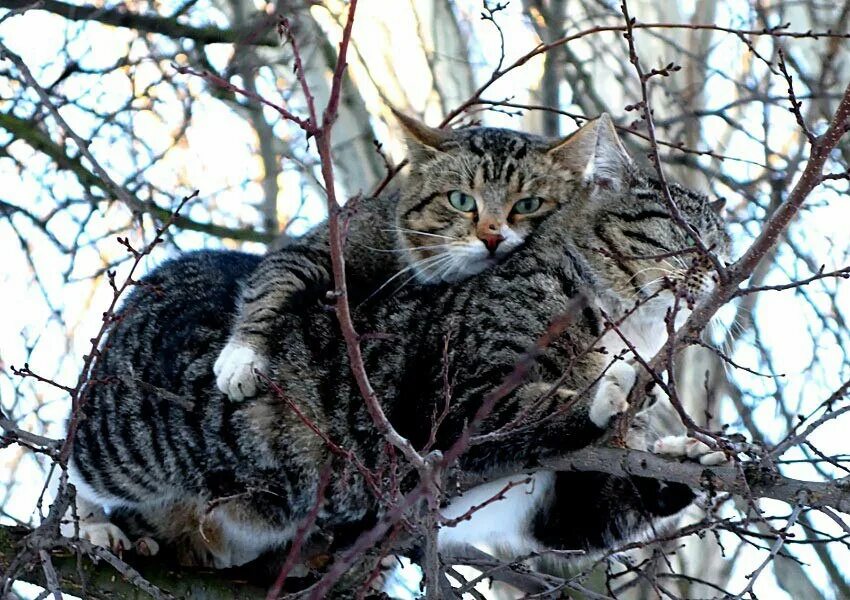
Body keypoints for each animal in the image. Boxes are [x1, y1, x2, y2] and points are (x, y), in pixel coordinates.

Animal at [215, 113, 580, 404]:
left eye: (529, 204)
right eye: (461, 200)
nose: (492, 237)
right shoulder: (326, 243)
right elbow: (275, 282)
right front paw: (242, 357)